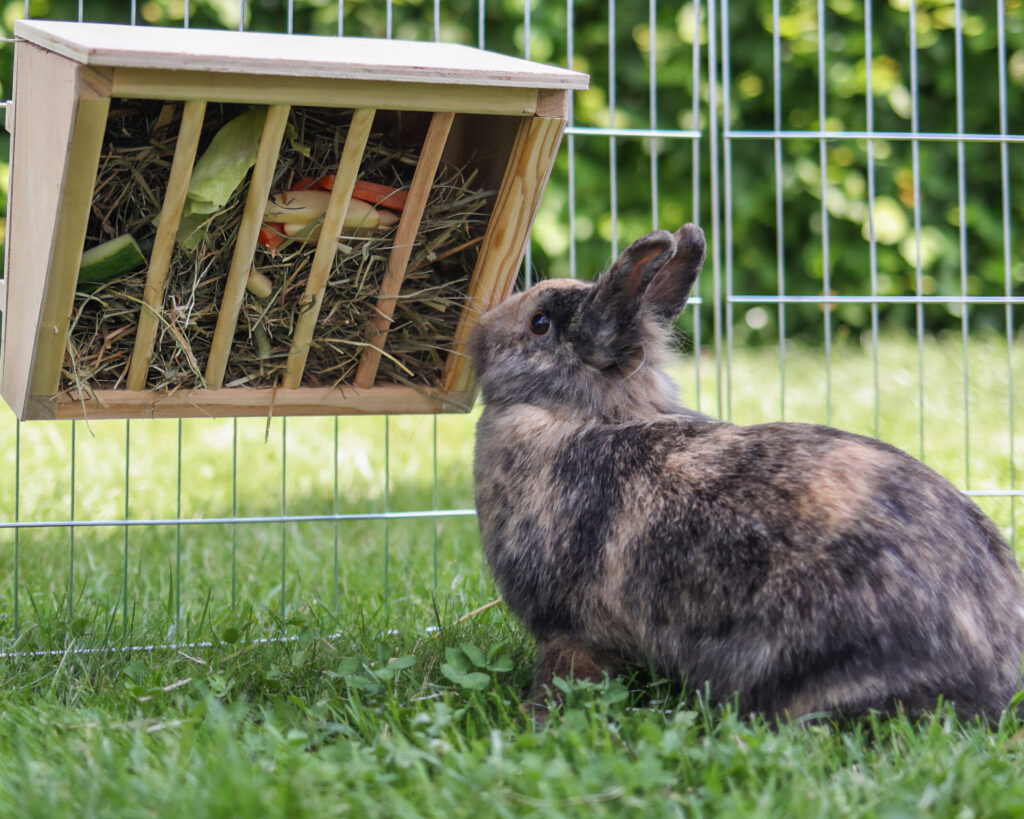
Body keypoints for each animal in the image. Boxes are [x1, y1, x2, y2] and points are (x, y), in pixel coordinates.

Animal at [468, 223, 1024, 721]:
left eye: (539, 323)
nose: (477, 332)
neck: (579, 416)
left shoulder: (570, 633)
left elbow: (564, 677)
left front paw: (531, 719)